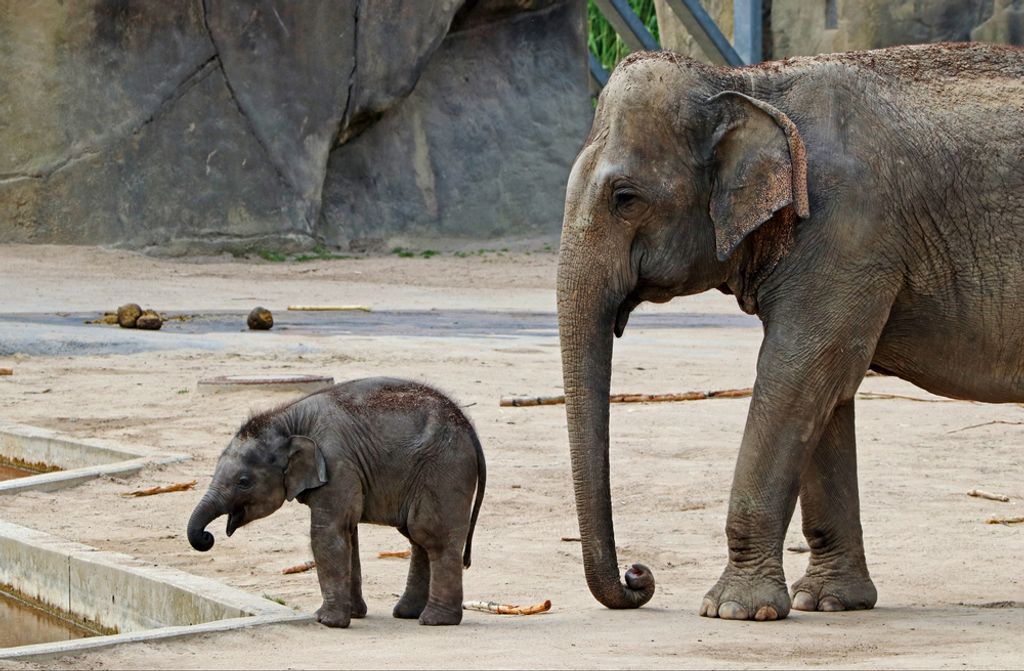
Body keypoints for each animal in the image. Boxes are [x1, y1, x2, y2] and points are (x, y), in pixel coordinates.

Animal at [187, 378, 486, 627]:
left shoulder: (337, 463)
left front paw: (327, 621)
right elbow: (348, 532)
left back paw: (435, 620)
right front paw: (352, 614)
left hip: (443, 469)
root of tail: (470, 428)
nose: (207, 537)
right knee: (416, 537)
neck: (288, 419)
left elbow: (327, 532)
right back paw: (407, 614)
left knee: (431, 535)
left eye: (244, 482)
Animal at [557, 43, 1024, 621]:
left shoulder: (848, 229)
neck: (749, 85)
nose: (638, 575)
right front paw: (828, 602)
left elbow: (797, 374)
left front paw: (733, 610)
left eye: (625, 198)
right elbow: (827, 392)